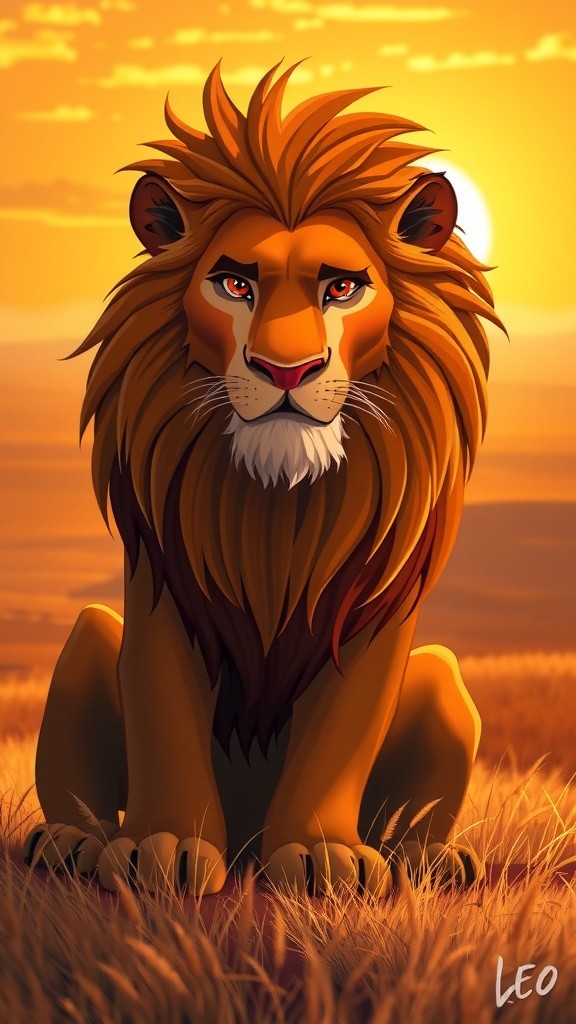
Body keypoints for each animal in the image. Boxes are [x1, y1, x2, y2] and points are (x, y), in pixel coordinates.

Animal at [24, 62, 503, 897]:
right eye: (235, 285)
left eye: (341, 288)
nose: (286, 371)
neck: (278, 505)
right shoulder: (162, 583)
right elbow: (165, 721)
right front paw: (164, 846)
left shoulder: (372, 607)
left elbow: (339, 740)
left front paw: (320, 855)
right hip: (85, 636)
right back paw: (72, 841)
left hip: (443, 680)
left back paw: (431, 858)